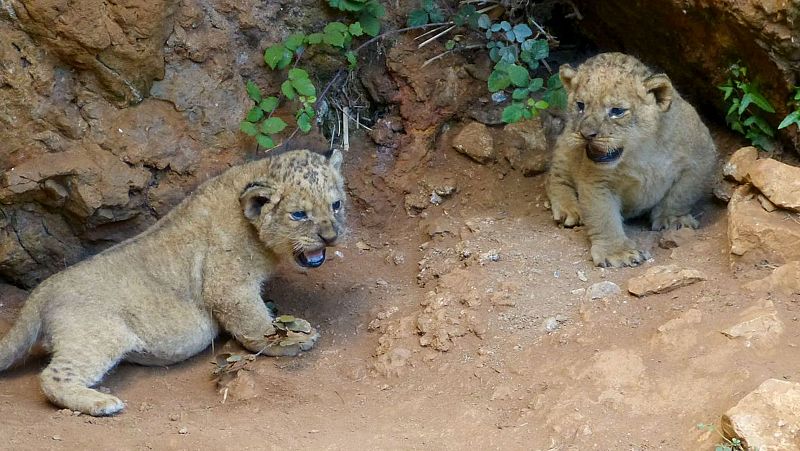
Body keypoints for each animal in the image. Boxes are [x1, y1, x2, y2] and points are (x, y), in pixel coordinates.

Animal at [0, 148, 346, 416]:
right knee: (52, 376)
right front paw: (289, 341)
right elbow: (255, 325)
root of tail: (40, 292)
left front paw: (290, 324)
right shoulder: (228, 286)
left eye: (336, 205)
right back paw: (101, 403)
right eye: (299, 214)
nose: (331, 237)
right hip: (97, 335)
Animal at [545, 53, 716, 267]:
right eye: (580, 105)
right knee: (555, 177)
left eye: (617, 111)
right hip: (566, 144)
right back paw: (569, 209)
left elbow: (682, 194)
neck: (640, 151)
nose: (586, 134)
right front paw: (617, 252)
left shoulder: (701, 158)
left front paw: (673, 220)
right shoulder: (596, 180)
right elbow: (604, 216)